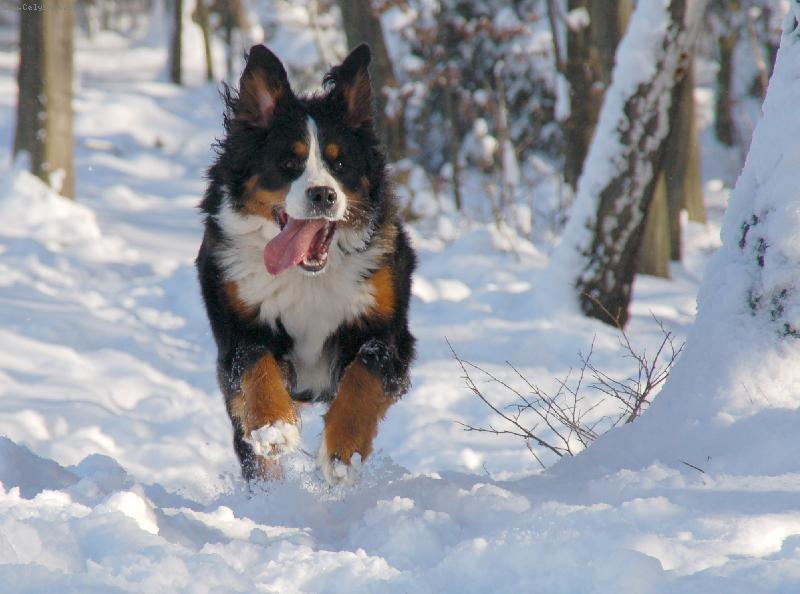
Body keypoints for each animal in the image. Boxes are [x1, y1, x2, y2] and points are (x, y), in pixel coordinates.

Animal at [196, 44, 416, 484]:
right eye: (288, 162)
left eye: (340, 164)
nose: (323, 195)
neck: (309, 276)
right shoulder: (238, 326)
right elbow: (254, 361)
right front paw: (273, 426)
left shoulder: (389, 333)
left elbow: (366, 372)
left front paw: (343, 450)